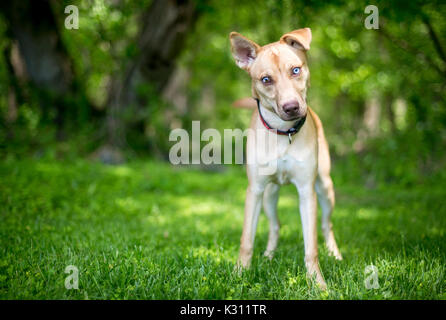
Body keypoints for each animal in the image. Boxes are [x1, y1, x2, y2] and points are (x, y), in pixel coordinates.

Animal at [230, 28, 342, 290]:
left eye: (296, 70)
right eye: (265, 80)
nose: (291, 107)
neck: (283, 133)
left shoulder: (306, 191)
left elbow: (311, 247)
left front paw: (317, 283)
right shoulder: (255, 190)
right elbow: (246, 240)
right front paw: (240, 274)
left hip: (325, 187)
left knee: (327, 225)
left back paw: (335, 254)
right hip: (269, 196)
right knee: (275, 225)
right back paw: (269, 256)